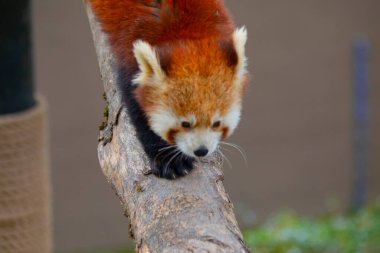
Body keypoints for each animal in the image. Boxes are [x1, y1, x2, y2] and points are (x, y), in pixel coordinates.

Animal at [89, 0, 249, 179]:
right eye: (185, 124)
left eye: (216, 123)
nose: (201, 150)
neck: (187, 33)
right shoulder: (128, 51)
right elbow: (137, 109)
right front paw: (168, 159)